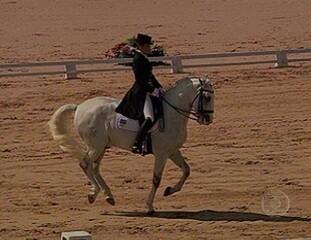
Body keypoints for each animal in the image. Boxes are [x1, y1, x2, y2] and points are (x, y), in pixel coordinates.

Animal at [48, 76, 214, 213]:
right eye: (206, 97)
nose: (208, 119)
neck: (170, 114)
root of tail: (80, 107)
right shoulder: (161, 154)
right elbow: (156, 179)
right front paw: (149, 206)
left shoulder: (172, 151)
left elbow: (186, 170)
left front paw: (169, 190)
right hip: (95, 146)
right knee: (85, 164)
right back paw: (95, 194)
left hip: (101, 147)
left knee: (94, 168)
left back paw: (107, 196)